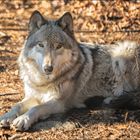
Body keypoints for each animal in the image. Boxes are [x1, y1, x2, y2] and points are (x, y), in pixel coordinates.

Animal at [0, 10, 140, 131]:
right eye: (41, 45)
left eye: (58, 46)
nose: (48, 68)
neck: (43, 82)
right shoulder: (33, 95)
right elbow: (17, 105)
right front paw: (6, 116)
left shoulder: (58, 102)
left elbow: (37, 108)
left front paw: (23, 119)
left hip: (122, 52)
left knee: (133, 93)